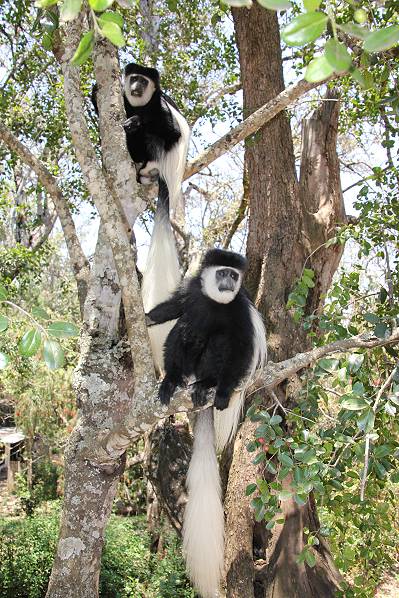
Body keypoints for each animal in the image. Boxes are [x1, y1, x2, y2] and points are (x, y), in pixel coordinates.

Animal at [145, 250, 268, 598]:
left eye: (233, 275)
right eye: (222, 273)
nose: (228, 282)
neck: (216, 302)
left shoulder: (240, 312)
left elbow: (240, 347)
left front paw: (224, 392)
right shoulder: (193, 292)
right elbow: (173, 310)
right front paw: (146, 318)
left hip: (212, 362)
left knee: (219, 341)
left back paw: (208, 386)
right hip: (187, 359)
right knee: (184, 329)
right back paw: (172, 381)